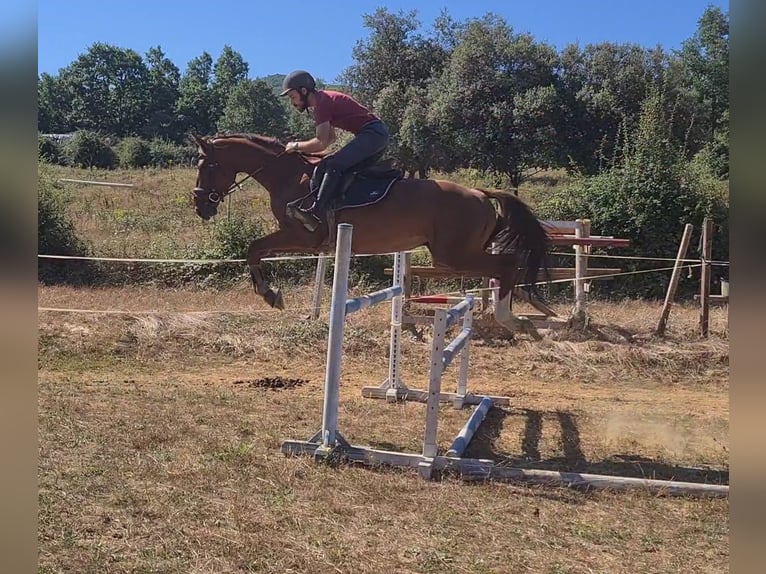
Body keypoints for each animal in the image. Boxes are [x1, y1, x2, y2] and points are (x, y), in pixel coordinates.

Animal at [192, 134, 552, 338]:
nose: (200, 206)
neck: (289, 176)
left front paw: (270, 294)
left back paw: (514, 318)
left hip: (453, 255)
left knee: (508, 265)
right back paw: (527, 307)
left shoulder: (302, 236)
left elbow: (254, 249)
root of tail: (479, 193)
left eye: (208, 166)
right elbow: (254, 251)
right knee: (507, 266)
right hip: (459, 254)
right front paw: (269, 293)